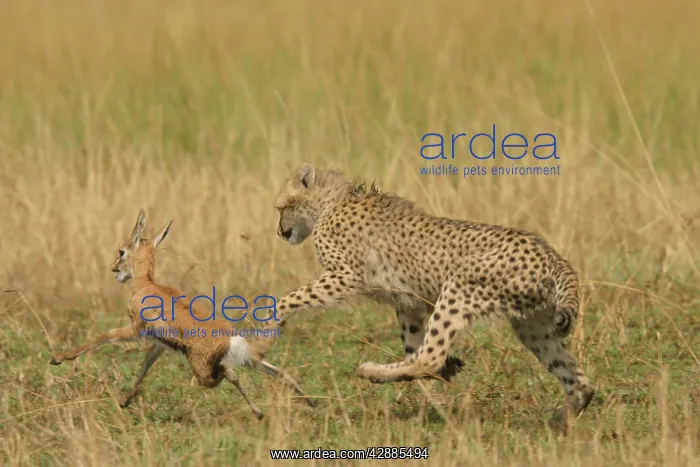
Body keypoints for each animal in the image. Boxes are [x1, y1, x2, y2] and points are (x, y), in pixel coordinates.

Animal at [49, 208, 315, 419]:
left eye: (122, 251)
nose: (114, 268)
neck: (146, 284)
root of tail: (229, 338)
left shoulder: (135, 329)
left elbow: (104, 336)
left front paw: (59, 358)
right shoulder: (159, 344)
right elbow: (146, 364)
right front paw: (125, 400)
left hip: (205, 372)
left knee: (229, 374)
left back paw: (261, 412)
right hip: (249, 358)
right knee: (279, 372)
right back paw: (307, 403)